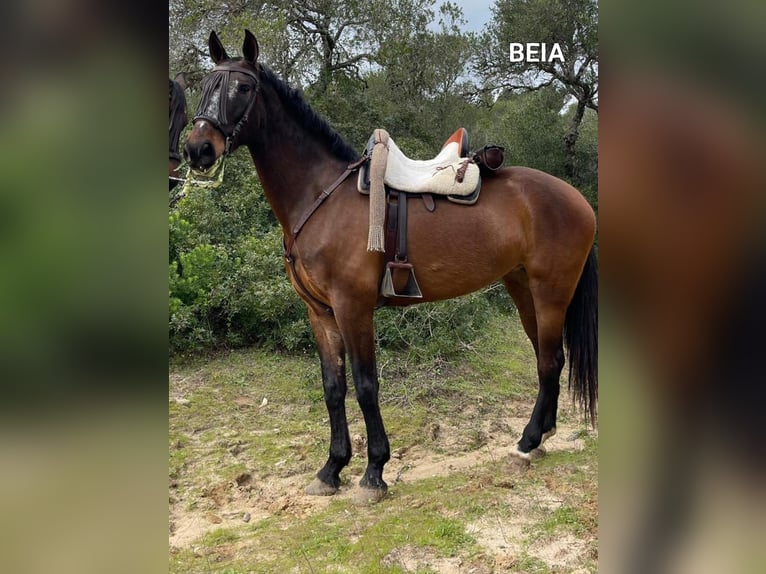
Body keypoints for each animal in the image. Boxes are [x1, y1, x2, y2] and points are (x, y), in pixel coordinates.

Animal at [182, 30, 600, 504]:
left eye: (242, 87)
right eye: (205, 85)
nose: (197, 149)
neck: (321, 197)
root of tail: (577, 198)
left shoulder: (353, 307)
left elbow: (366, 386)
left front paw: (374, 472)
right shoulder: (320, 313)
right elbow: (333, 388)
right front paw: (331, 469)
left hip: (552, 291)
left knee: (550, 360)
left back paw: (528, 442)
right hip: (522, 287)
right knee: (549, 357)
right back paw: (540, 436)